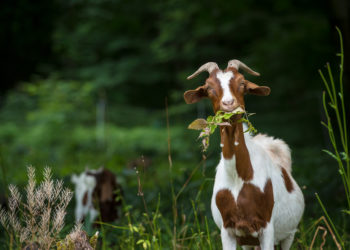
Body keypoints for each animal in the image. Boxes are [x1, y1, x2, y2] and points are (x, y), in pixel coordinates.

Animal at [185, 59, 304, 249]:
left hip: (289, 234)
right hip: (248, 241)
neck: (239, 177)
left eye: (242, 83)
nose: (229, 103)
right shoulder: (228, 229)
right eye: (209, 87)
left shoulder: (267, 227)